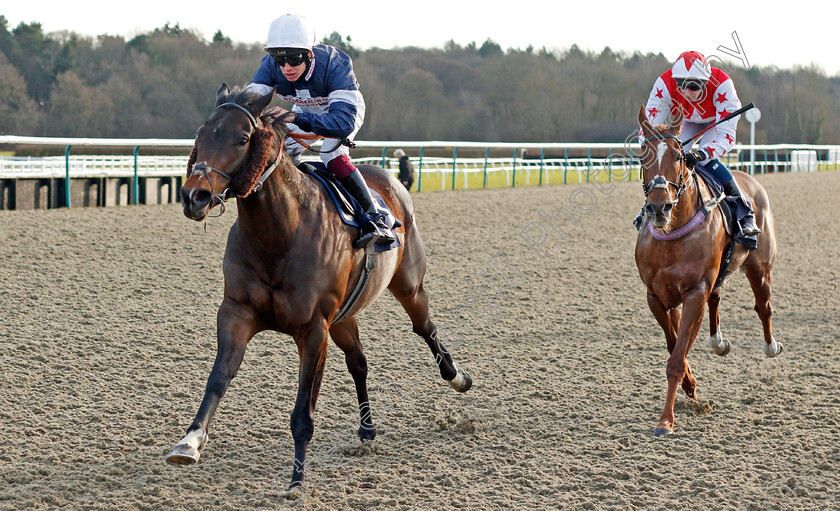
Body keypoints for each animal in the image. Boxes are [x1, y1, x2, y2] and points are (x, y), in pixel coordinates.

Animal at [166, 86, 472, 490]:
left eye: (242, 139)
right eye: (200, 136)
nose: (194, 196)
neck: (279, 235)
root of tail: (390, 182)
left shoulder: (313, 329)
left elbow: (302, 410)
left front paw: (296, 480)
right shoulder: (237, 312)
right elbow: (218, 377)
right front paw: (190, 441)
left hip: (409, 286)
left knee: (425, 328)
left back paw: (458, 377)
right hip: (344, 316)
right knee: (359, 361)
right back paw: (367, 429)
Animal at [636, 106, 780, 438]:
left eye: (678, 156)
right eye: (642, 154)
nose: (659, 208)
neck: (671, 235)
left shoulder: (694, 292)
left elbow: (676, 358)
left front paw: (665, 421)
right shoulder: (656, 296)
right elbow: (673, 342)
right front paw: (689, 385)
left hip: (760, 265)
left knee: (763, 306)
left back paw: (770, 346)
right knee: (717, 298)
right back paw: (718, 342)